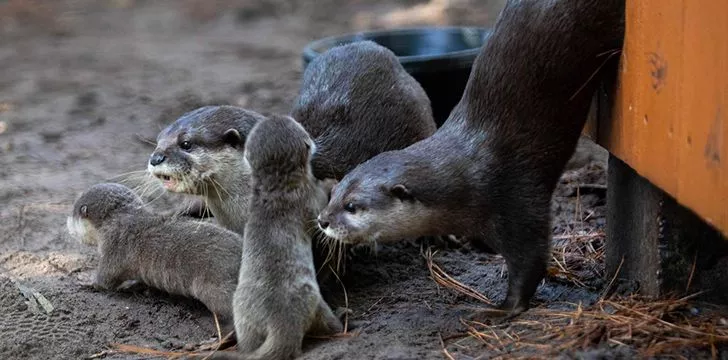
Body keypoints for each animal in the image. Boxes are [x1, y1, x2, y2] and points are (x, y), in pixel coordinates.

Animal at [66, 184, 242, 322]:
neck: (119, 221)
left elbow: (105, 279)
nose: (66, 225)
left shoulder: (113, 248)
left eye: (73, 215)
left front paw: (83, 278)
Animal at [199, 115, 342, 360]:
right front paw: (331, 183)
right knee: (329, 325)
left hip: (242, 313)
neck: (275, 191)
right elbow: (320, 208)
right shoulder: (309, 199)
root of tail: (281, 321)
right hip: (315, 303)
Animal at [316, 0, 624, 318]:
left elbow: (531, 260)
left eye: (352, 206)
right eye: (333, 194)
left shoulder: (518, 200)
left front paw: (504, 308)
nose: (322, 220)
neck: (468, 178)